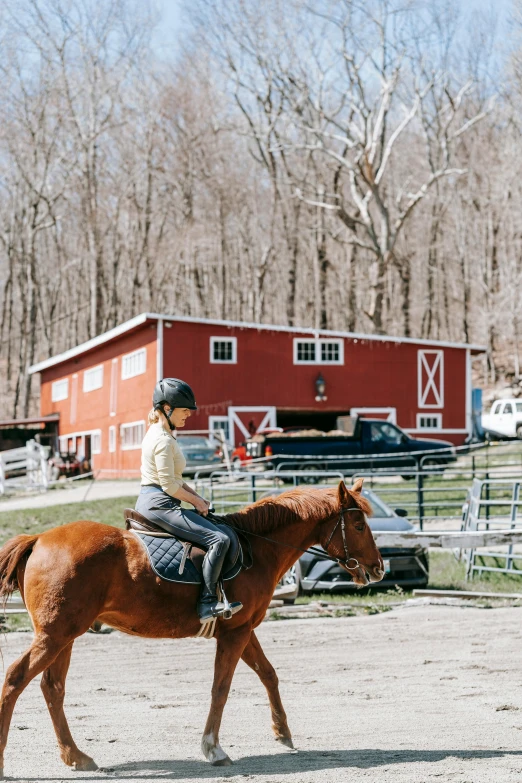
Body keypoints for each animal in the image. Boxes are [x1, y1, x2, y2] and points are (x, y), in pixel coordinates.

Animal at [0, 478, 378, 776]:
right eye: (359, 525)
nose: (378, 569)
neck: (257, 548)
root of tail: (39, 539)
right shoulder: (235, 633)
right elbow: (221, 688)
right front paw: (214, 749)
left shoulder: (243, 629)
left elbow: (268, 673)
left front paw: (282, 732)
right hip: (55, 636)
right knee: (16, 678)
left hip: (66, 636)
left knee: (53, 688)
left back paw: (76, 757)